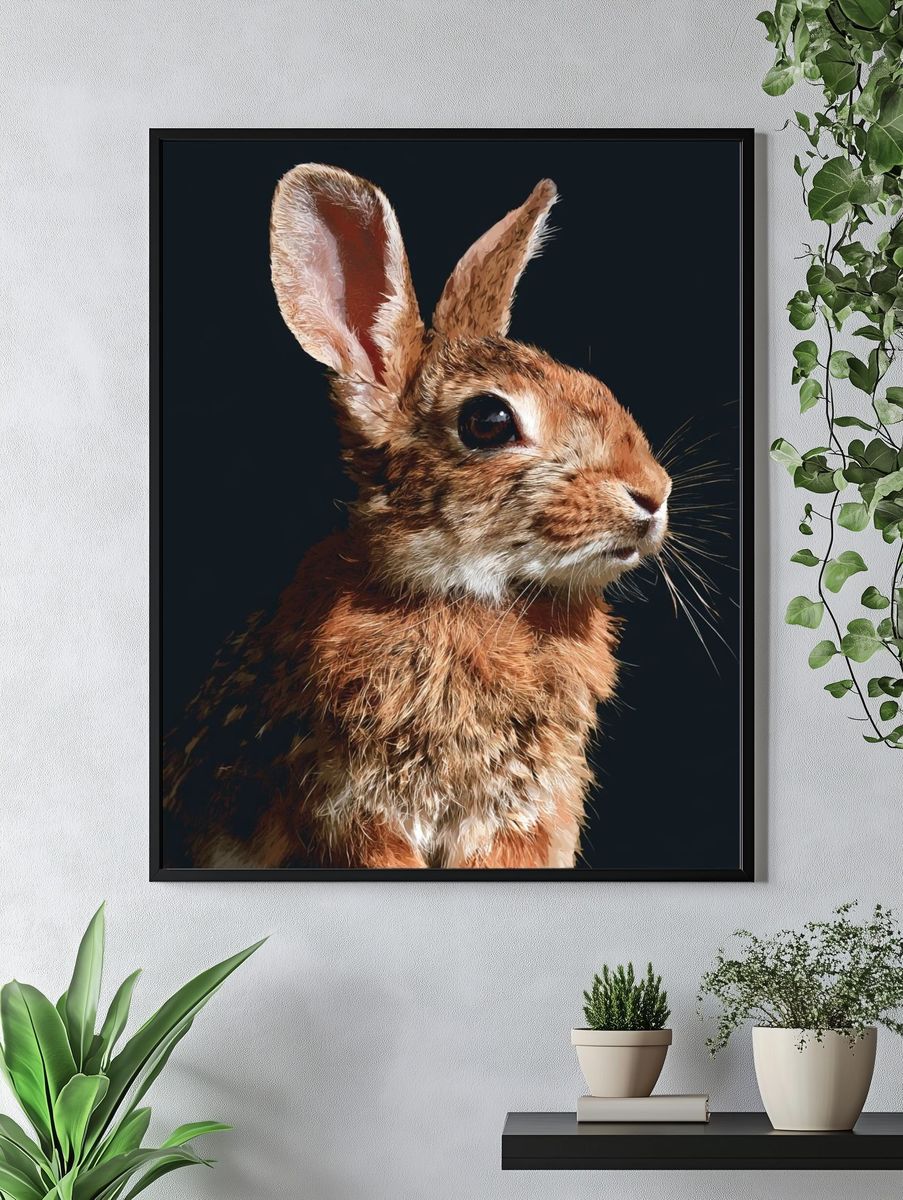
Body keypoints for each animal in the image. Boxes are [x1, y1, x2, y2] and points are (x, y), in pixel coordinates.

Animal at [161, 163, 672, 870]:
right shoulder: (351, 814)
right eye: (487, 421)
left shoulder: (517, 821)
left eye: (596, 387)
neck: (466, 595)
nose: (653, 494)